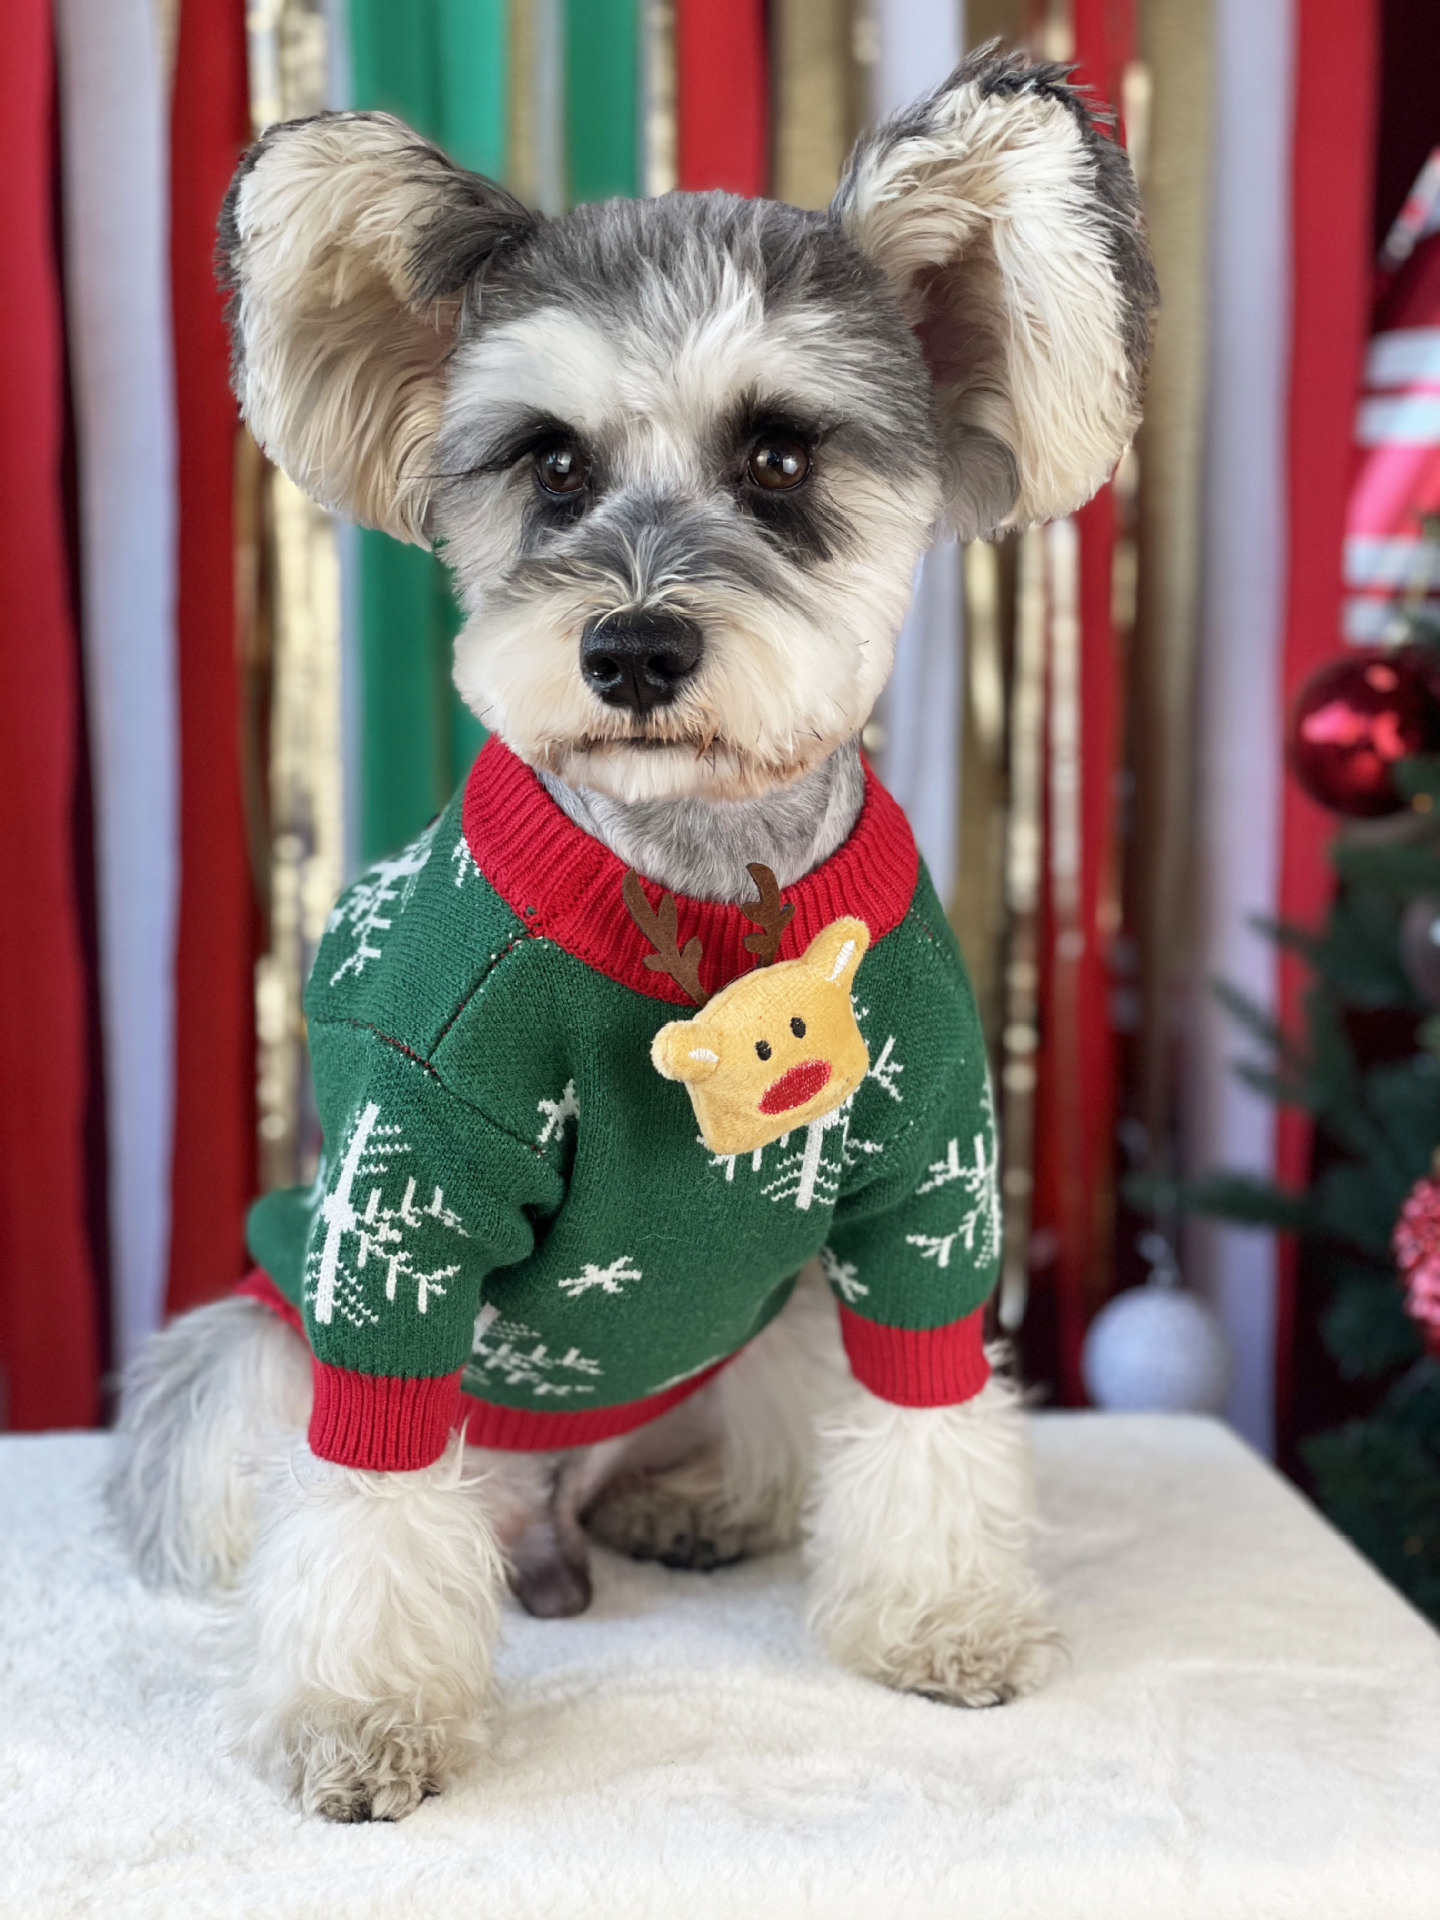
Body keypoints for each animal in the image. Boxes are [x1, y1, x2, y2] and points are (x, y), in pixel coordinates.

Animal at [107, 45, 1159, 1812]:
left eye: (781, 461)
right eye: (553, 465)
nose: (636, 648)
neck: (704, 882)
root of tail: (553, 1517)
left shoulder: (926, 1182)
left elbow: (928, 1399)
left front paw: (942, 1624)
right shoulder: (406, 1186)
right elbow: (367, 1479)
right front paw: (359, 1717)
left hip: (772, 1313)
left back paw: (694, 1503)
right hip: (253, 1333)